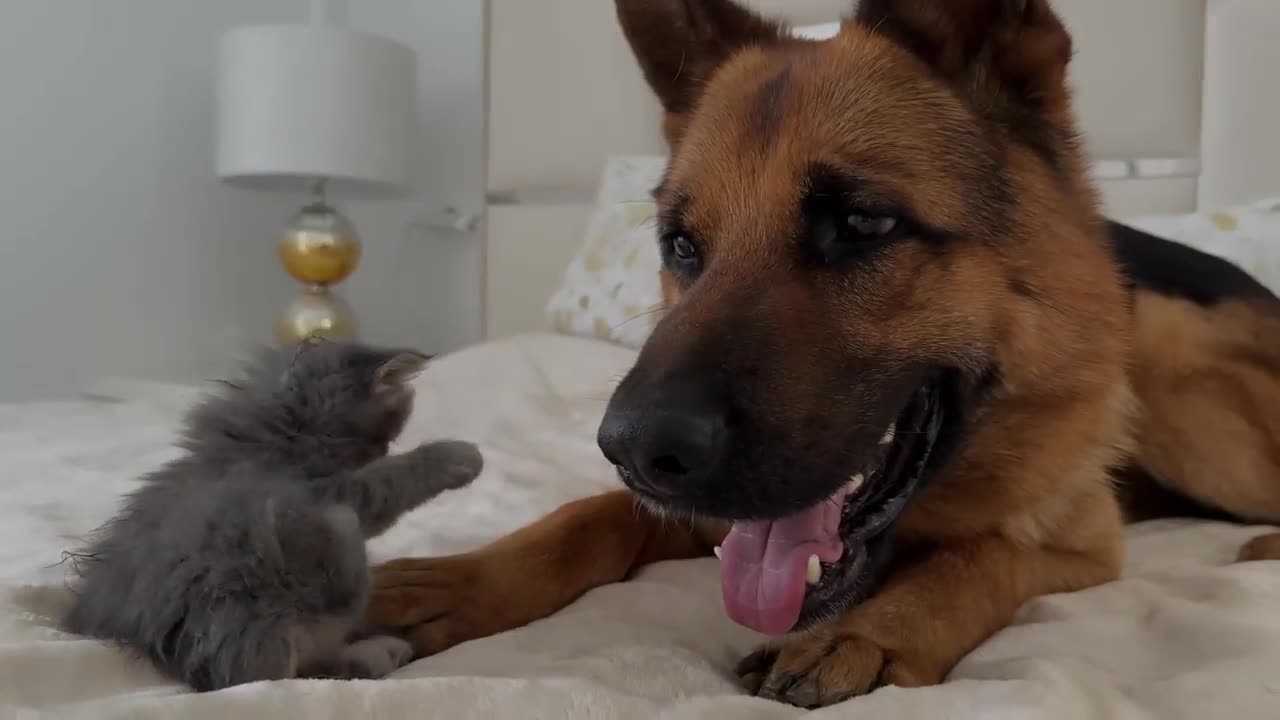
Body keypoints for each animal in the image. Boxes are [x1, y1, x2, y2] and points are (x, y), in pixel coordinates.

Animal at [61, 338, 481, 691]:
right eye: (384, 440)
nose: (380, 451)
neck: (260, 444)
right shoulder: (327, 494)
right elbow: (391, 480)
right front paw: (458, 456)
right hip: (331, 542)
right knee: (301, 671)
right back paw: (380, 652)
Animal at [363, 0, 1280, 707]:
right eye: (681, 247)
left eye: (862, 223)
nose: (635, 451)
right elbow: (586, 515)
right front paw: (465, 578)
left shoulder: (1081, 543)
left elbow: (980, 555)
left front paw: (870, 632)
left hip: (1179, 392)